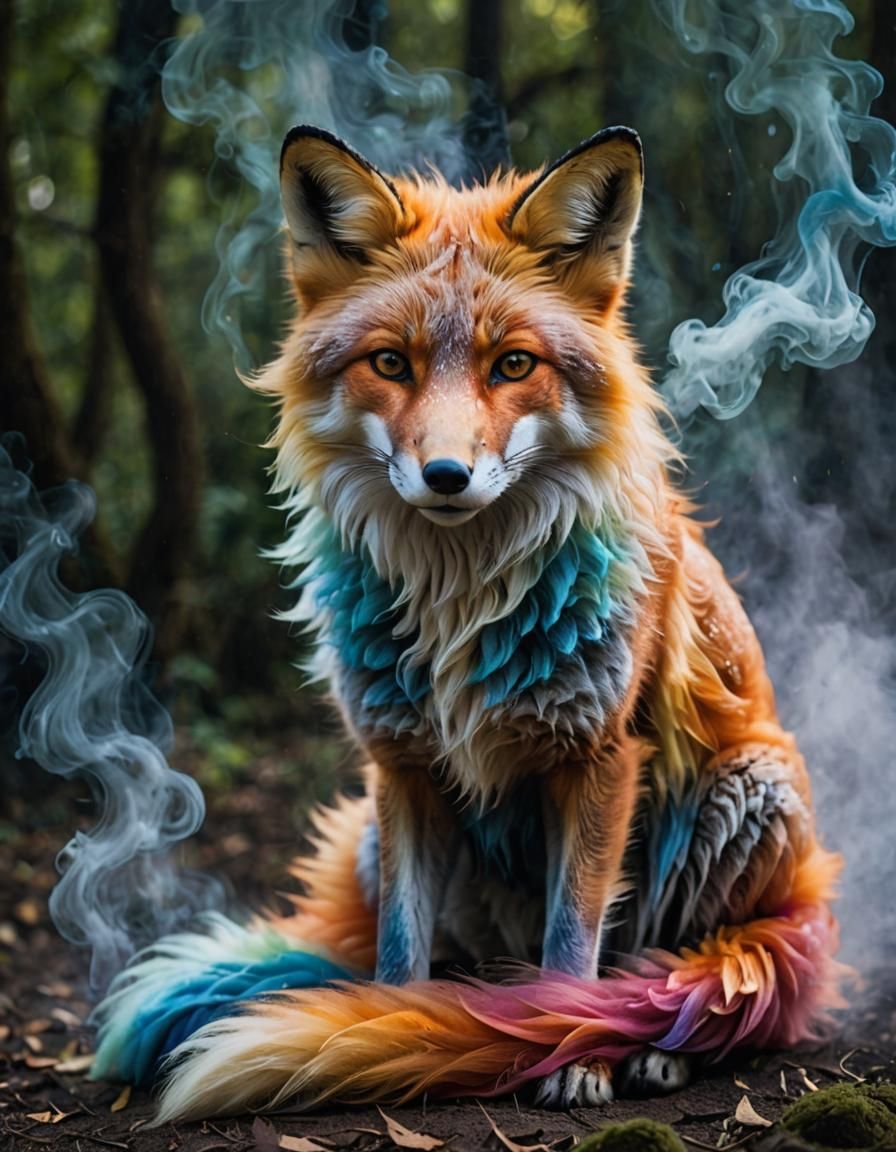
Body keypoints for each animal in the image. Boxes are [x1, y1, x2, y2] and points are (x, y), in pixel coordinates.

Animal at [92, 126, 842, 1118]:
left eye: (513, 364)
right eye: (392, 363)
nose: (445, 475)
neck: (461, 603)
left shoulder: (601, 760)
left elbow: (572, 943)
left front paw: (574, 1058)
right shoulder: (402, 763)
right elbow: (398, 950)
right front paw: (374, 1037)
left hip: (747, 795)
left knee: (710, 967)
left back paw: (658, 1044)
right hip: (376, 842)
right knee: (458, 961)